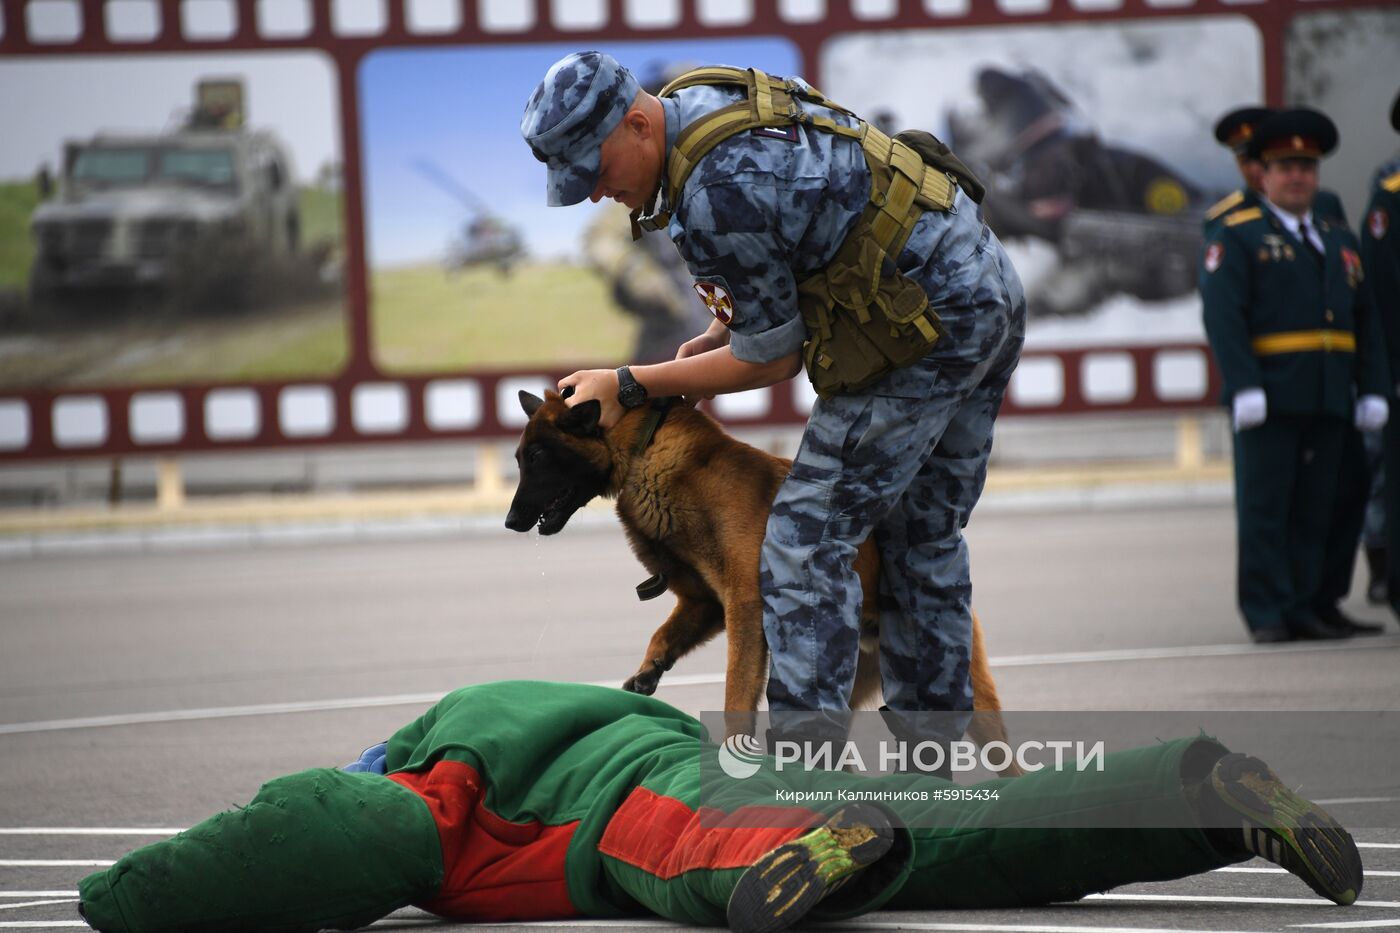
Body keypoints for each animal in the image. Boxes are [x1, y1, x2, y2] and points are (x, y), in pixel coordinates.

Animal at [504, 389, 1019, 767]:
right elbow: (663, 632)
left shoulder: (746, 606)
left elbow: (737, 687)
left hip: (964, 691)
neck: (643, 452)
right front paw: (649, 669)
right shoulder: (705, 604)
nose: (510, 522)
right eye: (519, 457)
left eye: (539, 456)